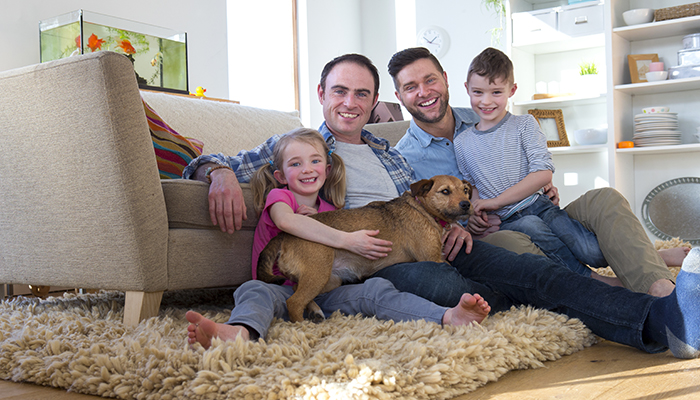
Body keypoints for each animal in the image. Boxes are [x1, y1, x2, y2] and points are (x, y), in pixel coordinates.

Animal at [256, 174, 470, 322]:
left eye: (465, 190)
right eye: (445, 191)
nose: (467, 204)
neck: (423, 209)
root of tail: (284, 235)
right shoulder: (434, 258)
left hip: (329, 279)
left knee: (294, 288)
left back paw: (315, 310)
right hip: (317, 273)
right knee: (293, 302)